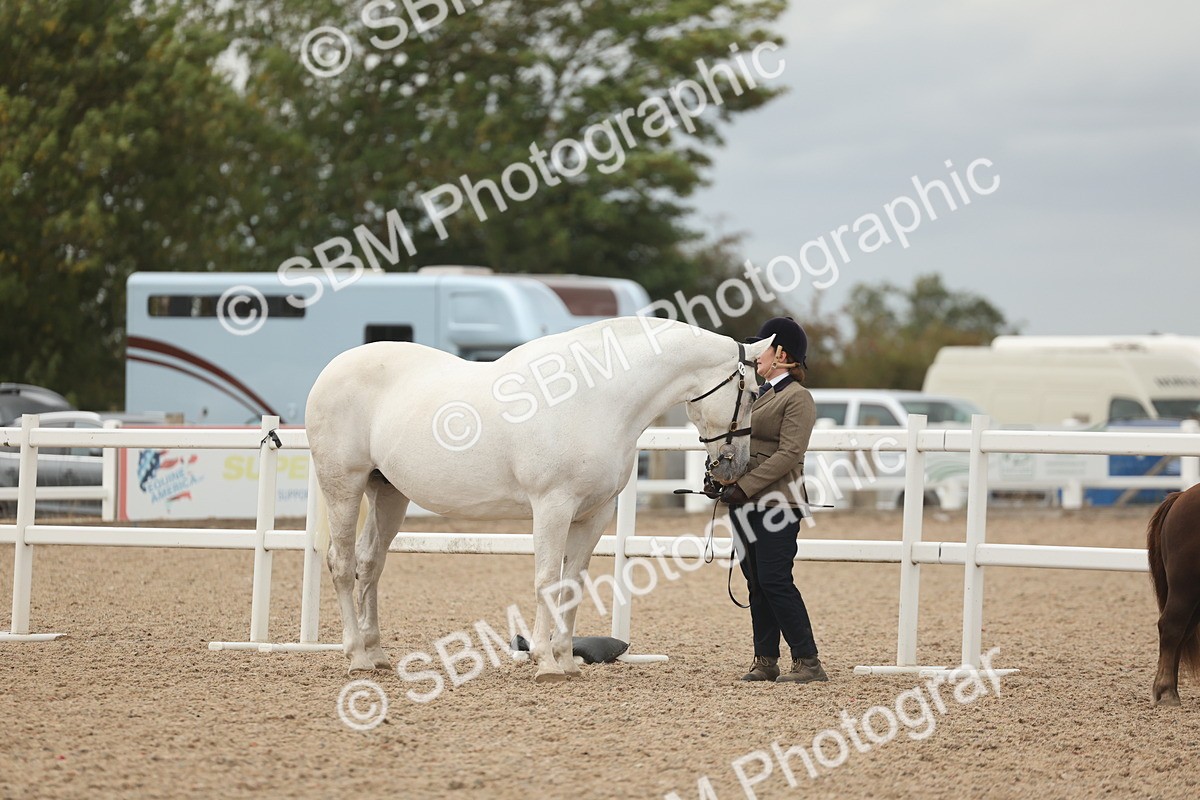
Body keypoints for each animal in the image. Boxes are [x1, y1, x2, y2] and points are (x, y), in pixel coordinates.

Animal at [305, 317, 774, 682]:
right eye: (754, 392)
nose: (732, 467)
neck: (597, 398)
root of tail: (331, 370)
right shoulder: (552, 506)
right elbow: (548, 580)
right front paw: (545, 662)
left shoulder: (594, 514)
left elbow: (573, 582)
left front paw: (566, 661)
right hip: (343, 486)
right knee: (342, 564)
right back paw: (355, 657)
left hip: (388, 493)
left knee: (370, 564)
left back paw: (376, 655)